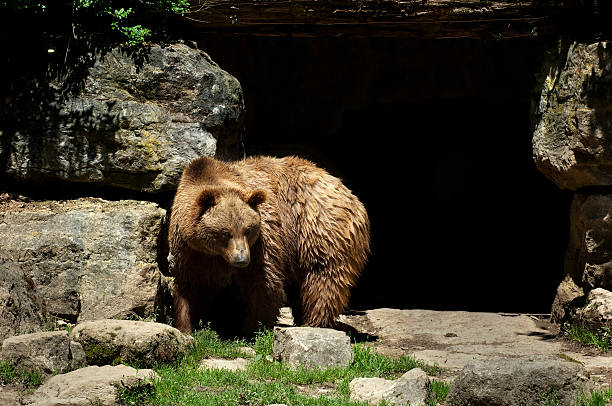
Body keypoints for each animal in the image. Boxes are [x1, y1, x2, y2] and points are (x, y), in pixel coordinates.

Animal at [169, 154, 368, 334]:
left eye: (248, 229)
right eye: (225, 233)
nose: (241, 259)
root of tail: (350, 194)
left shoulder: (263, 238)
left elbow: (263, 282)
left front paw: (253, 328)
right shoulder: (189, 249)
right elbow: (188, 284)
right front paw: (185, 326)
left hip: (318, 226)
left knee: (322, 276)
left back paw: (314, 322)